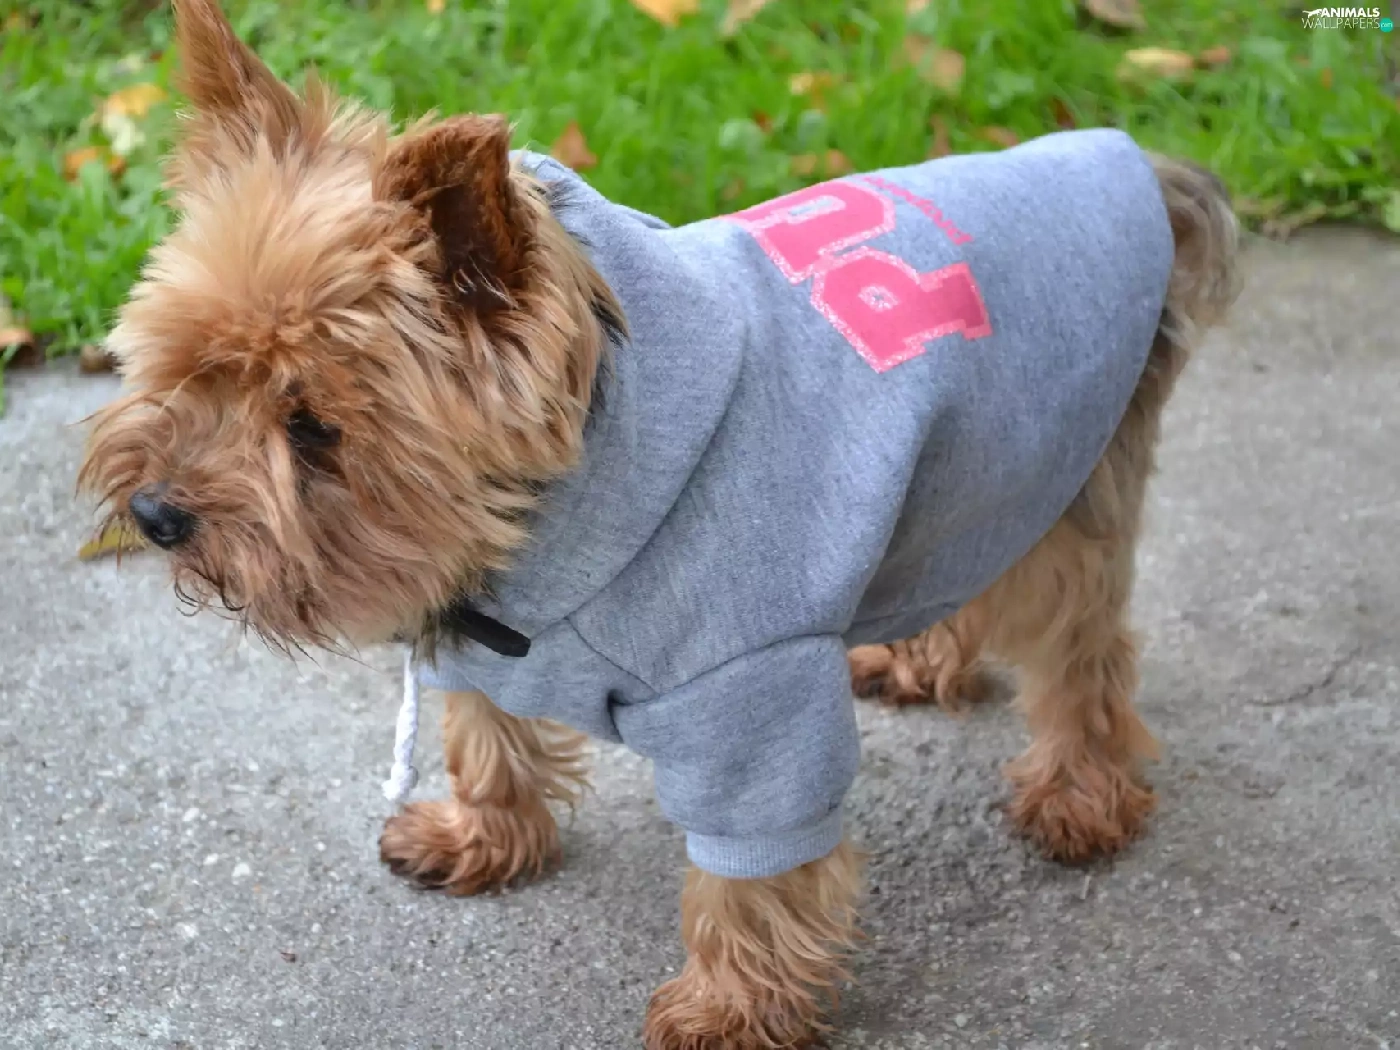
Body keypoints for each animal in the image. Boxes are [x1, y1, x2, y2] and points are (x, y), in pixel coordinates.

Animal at [79, 1, 1241, 1045]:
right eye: (186, 368)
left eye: (312, 426)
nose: (157, 512)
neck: (553, 519)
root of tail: (1129, 159)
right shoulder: (482, 629)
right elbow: (483, 733)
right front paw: (483, 833)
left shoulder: (752, 699)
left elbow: (755, 875)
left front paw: (732, 1010)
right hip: (972, 473)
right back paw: (922, 658)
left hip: (1062, 473)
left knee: (1081, 649)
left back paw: (1083, 793)